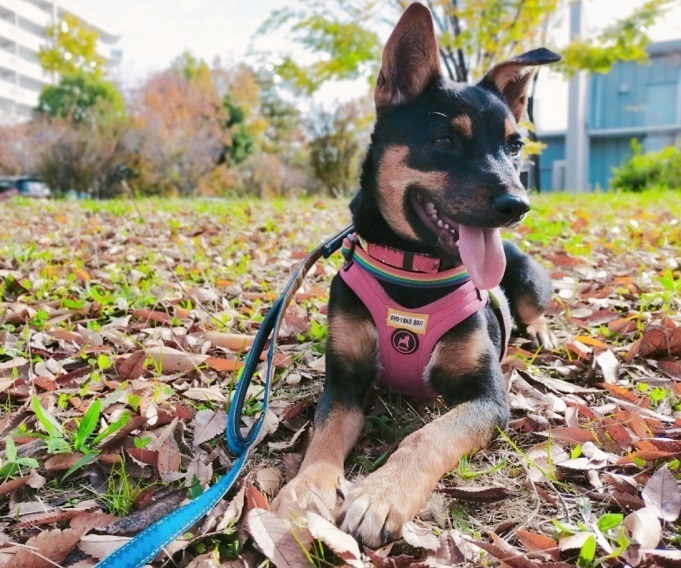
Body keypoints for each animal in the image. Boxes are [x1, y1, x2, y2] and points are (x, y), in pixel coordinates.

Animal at [272, 2, 559, 548]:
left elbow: (428, 437)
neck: (411, 271)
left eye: (515, 145)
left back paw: (543, 333)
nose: (518, 205)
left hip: (531, 278)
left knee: (535, 311)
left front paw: (382, 494)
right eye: (444, 140)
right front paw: (306, 488)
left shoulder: (488, 399)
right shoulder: (345, 380)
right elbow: (324, 434)